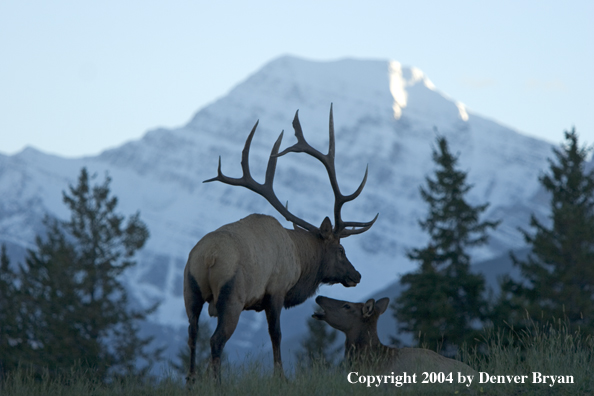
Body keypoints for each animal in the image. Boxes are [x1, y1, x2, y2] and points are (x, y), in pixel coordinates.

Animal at [183, 106, 376, 382]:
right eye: (340, 250)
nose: (356, 275)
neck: (300, 263)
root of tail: (208, 257)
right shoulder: (276, 291)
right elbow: (276, 335)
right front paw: (281, 377)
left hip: (190, 291)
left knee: (191, 335)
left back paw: (191, 382)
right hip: (232, 297)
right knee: (216, 340)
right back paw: (217, 384)